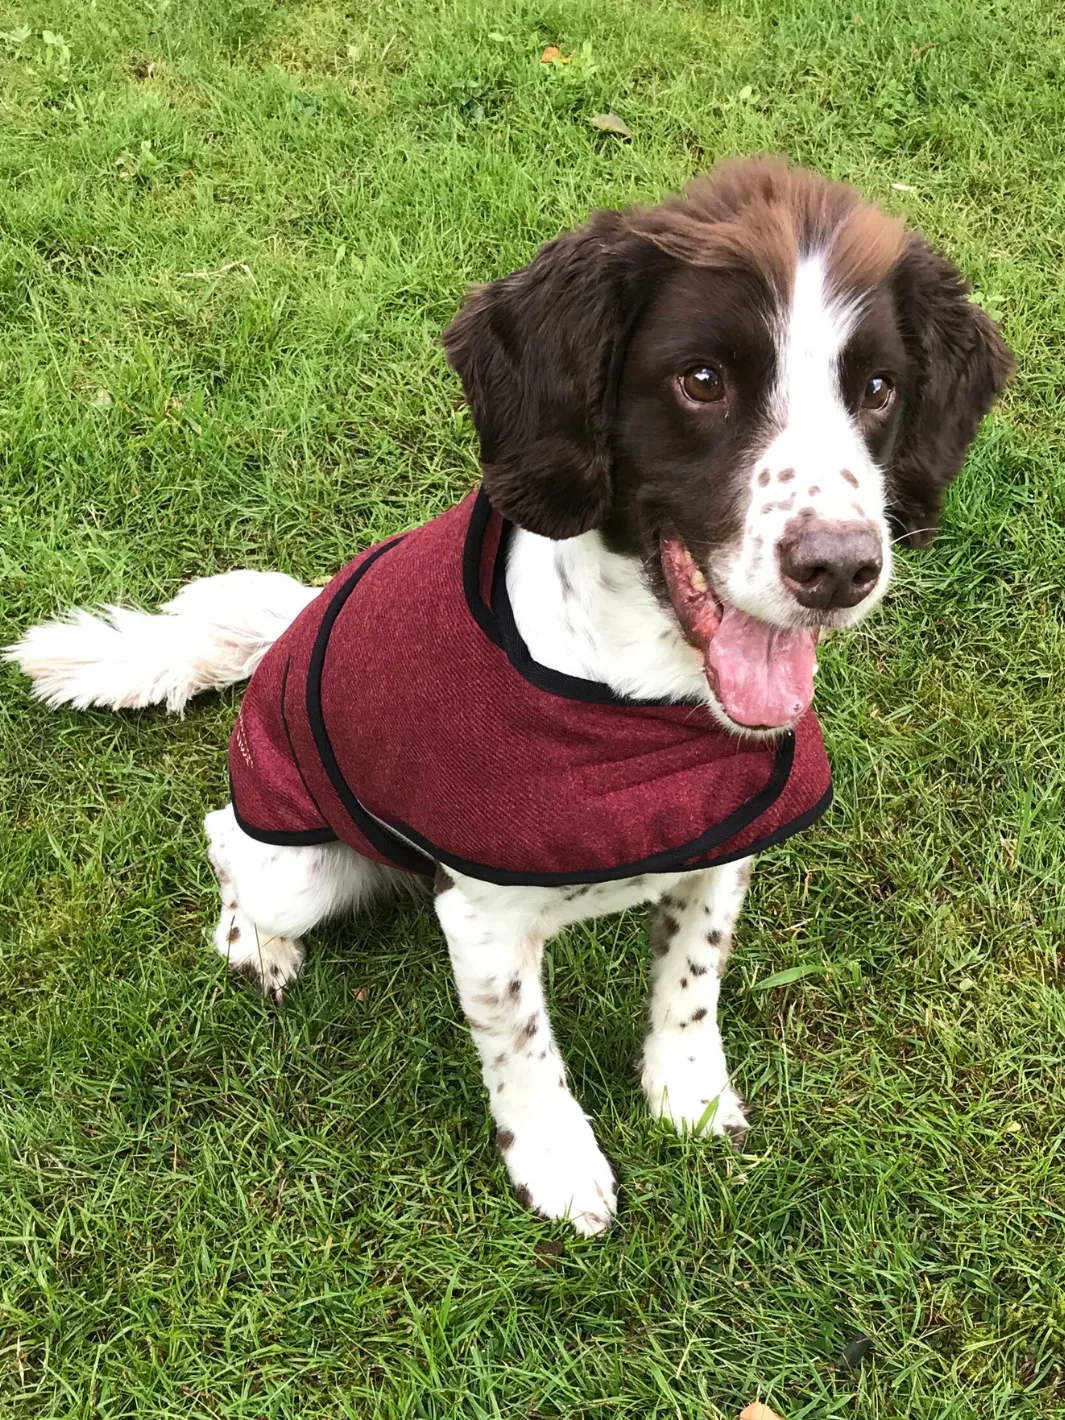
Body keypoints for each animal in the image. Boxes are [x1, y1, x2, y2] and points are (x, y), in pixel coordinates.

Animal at [6, 161, 1011, 1238]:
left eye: (878, 389)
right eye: (702, 381)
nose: (841, 571)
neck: (642, 695)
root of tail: (299, 620)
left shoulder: (722, 855)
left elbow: (691, 982)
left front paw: (687, 1094)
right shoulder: (483, 922)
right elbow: (524, 1047)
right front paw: (559, 1164)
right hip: (296, 863)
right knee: (226, 839)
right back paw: (254, 941)